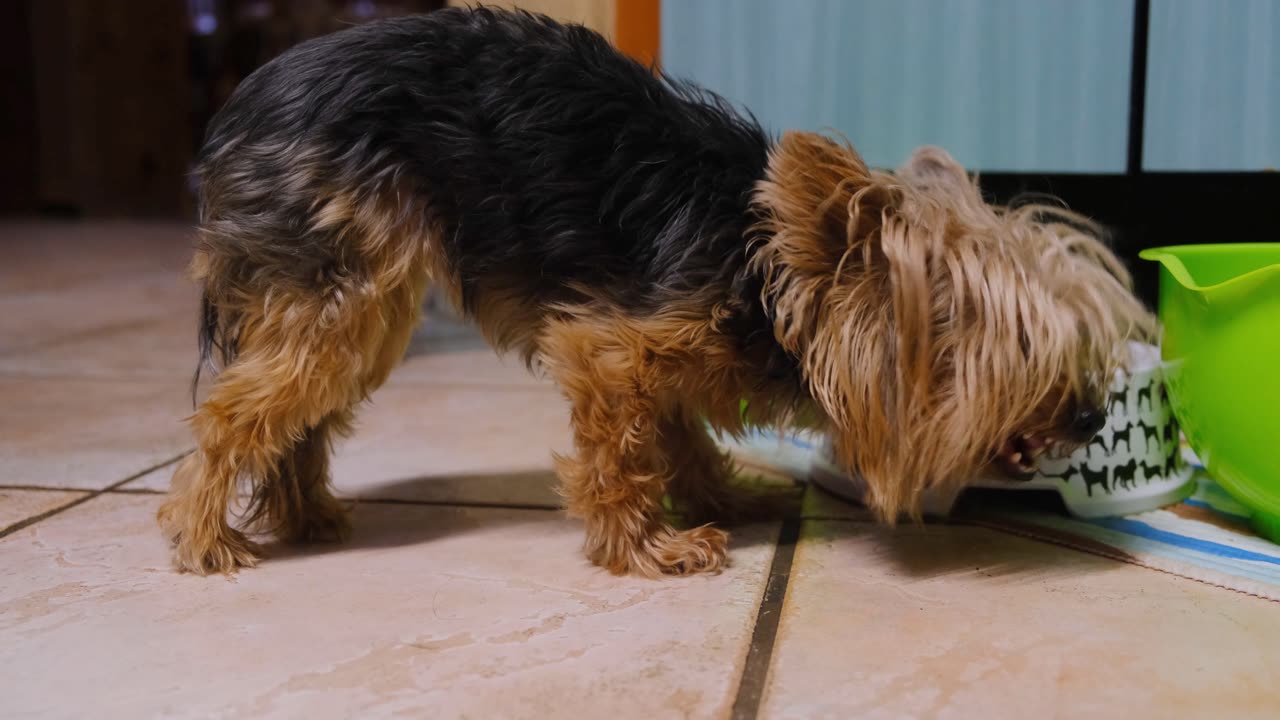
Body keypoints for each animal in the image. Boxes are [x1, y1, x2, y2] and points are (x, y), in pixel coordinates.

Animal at [154, 8, 1157, 573]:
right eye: (1019, 353)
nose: (1091, 417)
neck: (771, 279)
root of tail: (234, 111)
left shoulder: (671, 351)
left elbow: (678, 429)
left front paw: (724, 498)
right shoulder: (609, 347)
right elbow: (620, 449)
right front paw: (648, 547)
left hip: (351, 295)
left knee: (299, 409)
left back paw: (306, 515)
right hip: (347, 282)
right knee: (238, 411)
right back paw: (204, 536)